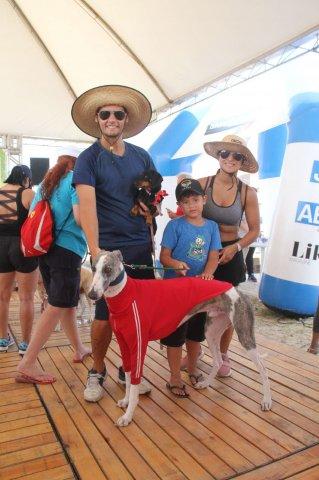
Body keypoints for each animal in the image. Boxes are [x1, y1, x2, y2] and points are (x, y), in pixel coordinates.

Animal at [88, 249, 272, 426]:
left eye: (108, 269)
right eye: (93, 268)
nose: (92, 295)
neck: (125, 295)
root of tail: (238, 291)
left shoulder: (138, 344)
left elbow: (133, 385)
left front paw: (128, 416)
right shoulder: (124, 344)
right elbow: (127, 375)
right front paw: (125, 402)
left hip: (244, 334)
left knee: (263, 369)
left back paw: (267, 401)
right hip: (212, 331)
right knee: (218, 361)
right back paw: (205, 384)